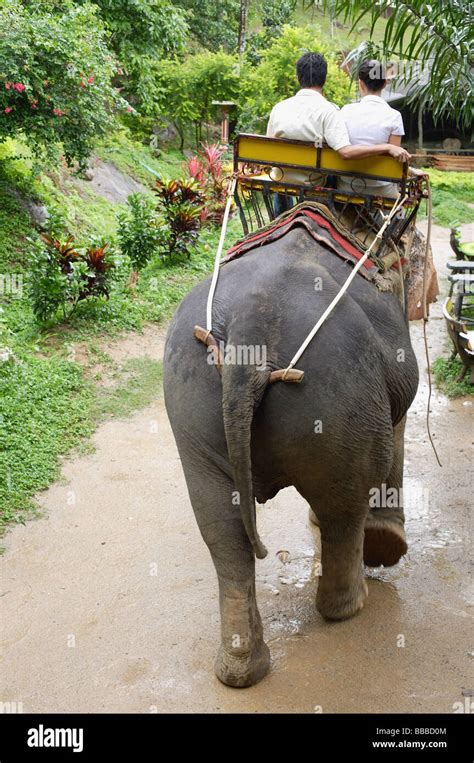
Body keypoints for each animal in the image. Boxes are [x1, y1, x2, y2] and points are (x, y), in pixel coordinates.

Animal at [163, 230, 418, 688]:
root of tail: (250, 326)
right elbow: (400, 421)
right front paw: (388, 543)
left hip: (187, 399)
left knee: (220, 525)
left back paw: (241, 669)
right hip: (343, 397)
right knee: (345, 507)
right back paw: (351, 604)